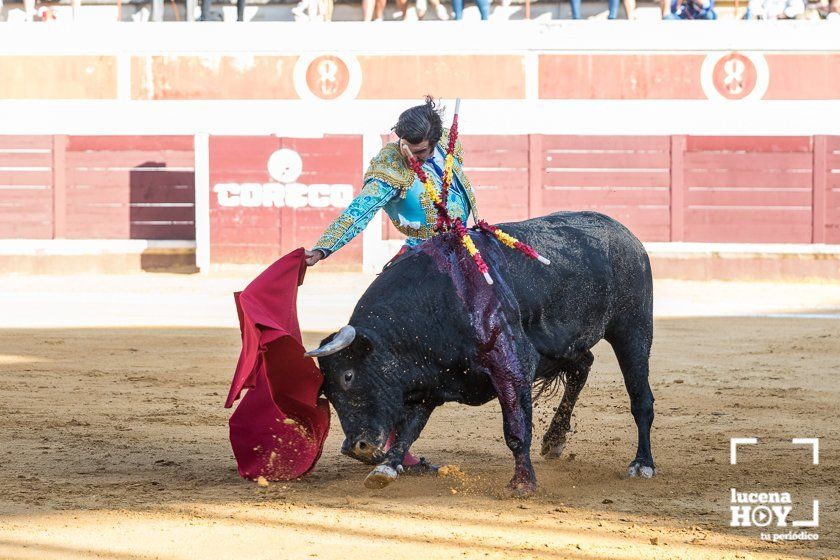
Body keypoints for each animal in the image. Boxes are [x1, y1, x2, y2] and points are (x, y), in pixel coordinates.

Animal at [308, 211, 656, 494]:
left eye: (348, 375)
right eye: (326, 393)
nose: (356, 447)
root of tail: (626, 234)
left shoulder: (511, 367)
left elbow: (516, 428)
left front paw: (522, 483)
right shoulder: (429, 382)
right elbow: (408, 429)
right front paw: (386, 469)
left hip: (633, 328)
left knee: (641, 398)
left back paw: (642, 464)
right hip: (566, 344)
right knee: (582, 366)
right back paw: (554, 440)